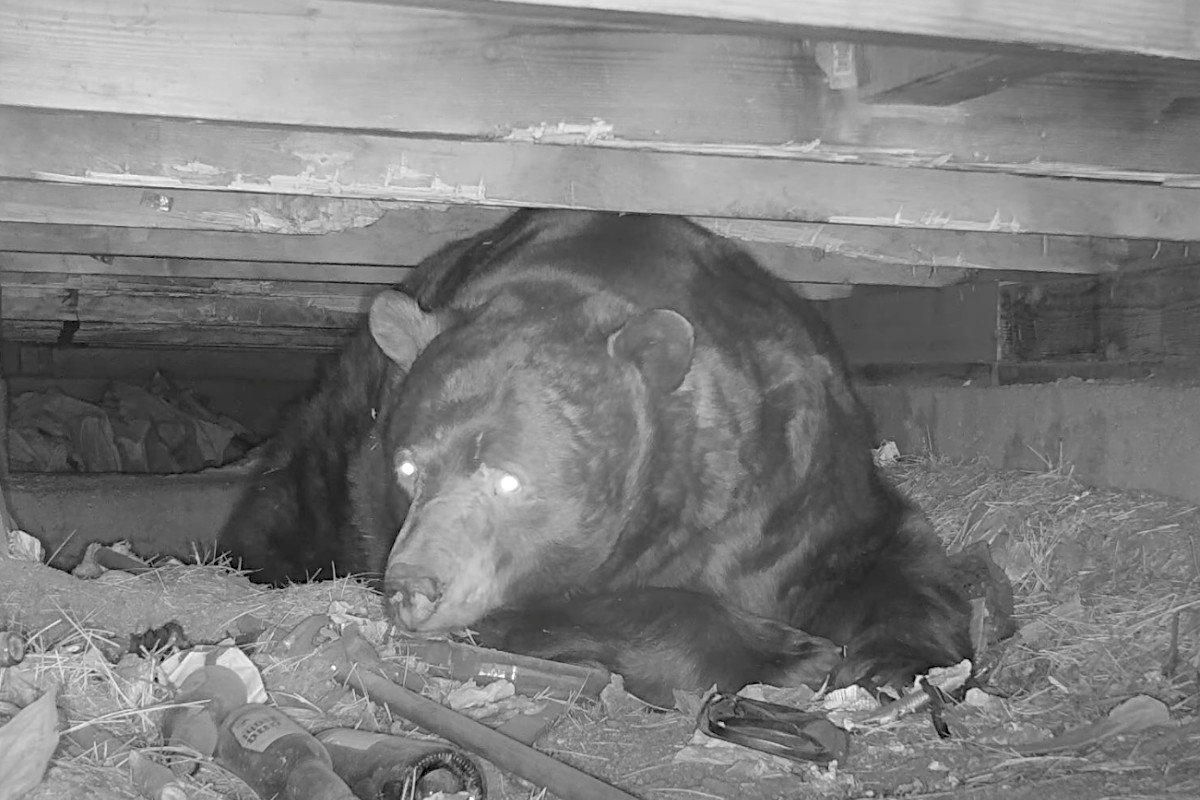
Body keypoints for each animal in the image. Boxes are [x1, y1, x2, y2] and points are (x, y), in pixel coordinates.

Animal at [220, 209, 974, 705]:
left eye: (510, 481)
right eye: (408, 469)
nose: (412, 588)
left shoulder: (797, 473)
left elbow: (885, 543)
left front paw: (894, 658)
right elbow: (583, 613)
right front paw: (788, 653)